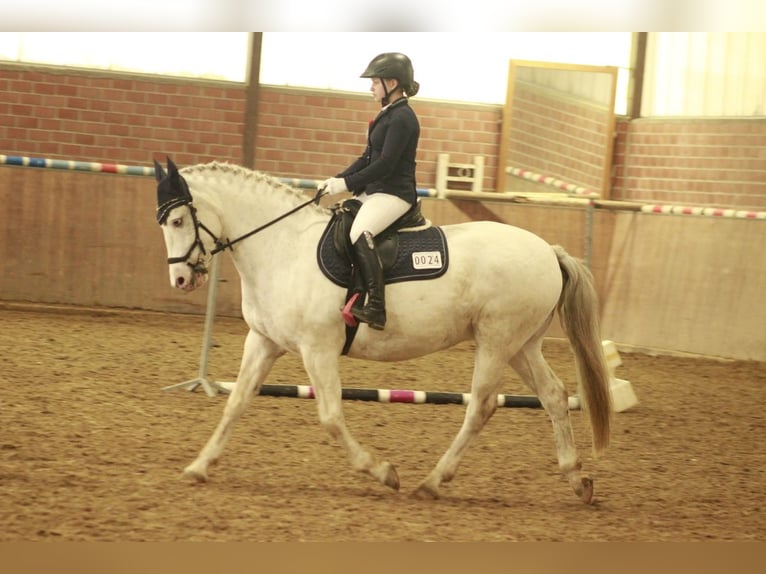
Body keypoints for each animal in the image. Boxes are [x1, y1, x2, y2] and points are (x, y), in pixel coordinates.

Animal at [154, 158, 612, 504]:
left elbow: (330, 416)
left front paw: (383, 472)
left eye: (177, 220)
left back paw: (431, 482)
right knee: (554, 396)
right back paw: (578, 480)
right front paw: (199, 466)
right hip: (521, 345)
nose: (180, 280)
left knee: (481, 406)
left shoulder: (317, 348)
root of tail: (548, 251)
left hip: (496, 343)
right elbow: (235, 404)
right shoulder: (264, 342)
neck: (283, 248)